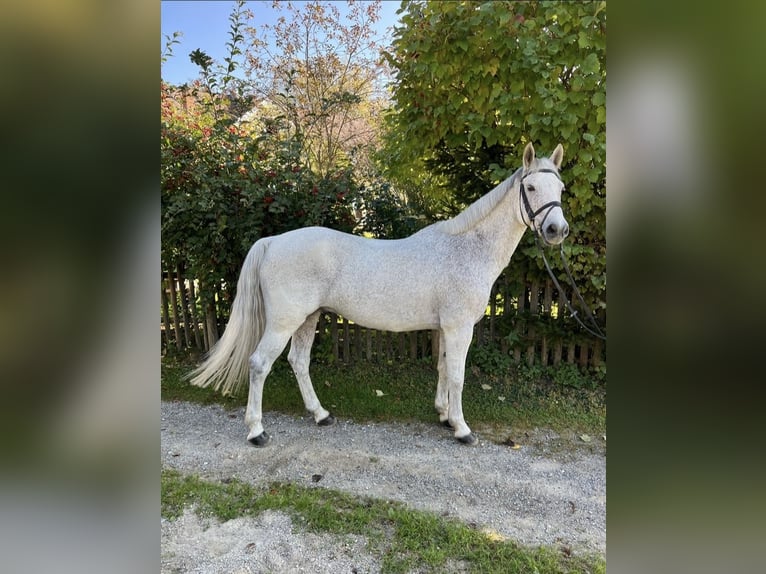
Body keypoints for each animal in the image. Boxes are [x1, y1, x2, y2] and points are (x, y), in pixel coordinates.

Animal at [188, 142, 568, 448]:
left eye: (561, 188)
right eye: (531, 186)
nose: (557, 230)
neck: (466, 249)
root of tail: (272, 242)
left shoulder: (445, 328)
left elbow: (443, 370)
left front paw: (444, 416)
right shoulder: (460, 328)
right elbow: (458, 376)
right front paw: (462, 429)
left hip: (308, 318)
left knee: (298, 361)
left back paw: (321, 414)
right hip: (284, 322)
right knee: (259, 364)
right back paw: (257, 432)